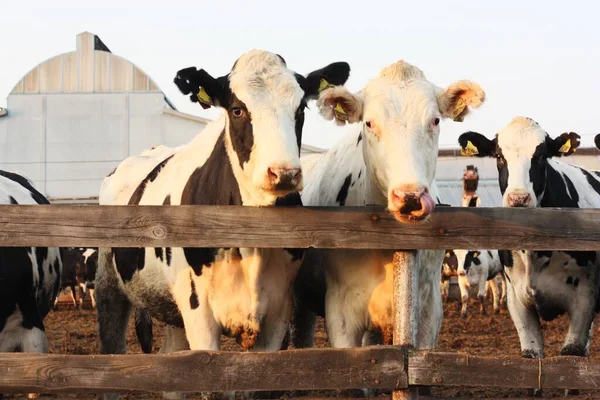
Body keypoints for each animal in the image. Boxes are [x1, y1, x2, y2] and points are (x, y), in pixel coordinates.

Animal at [95, 50, 352, 400]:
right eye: (237, 109)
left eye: (300, 108)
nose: (284, 173)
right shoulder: (200, 313)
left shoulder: (277, 313)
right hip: (109, 286)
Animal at [460, 115, 600, 394]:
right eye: (499, 156)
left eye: (541, 155)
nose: (518, 198)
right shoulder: (516, 297)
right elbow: (531, 356)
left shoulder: (585, 295)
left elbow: (572, 352)